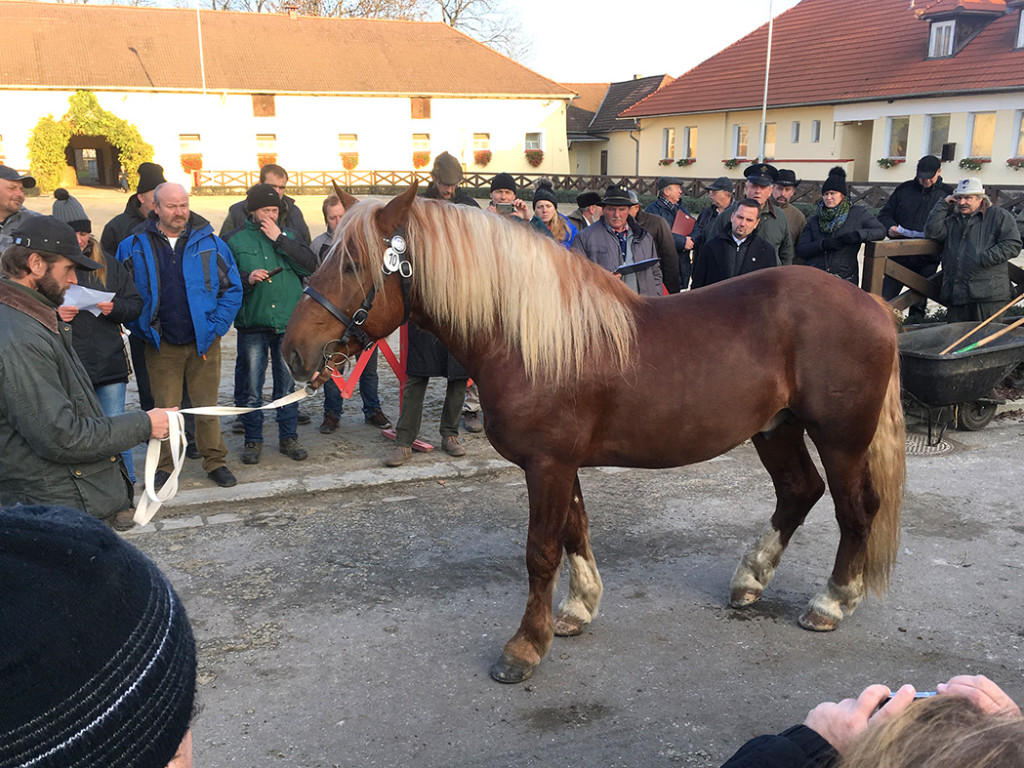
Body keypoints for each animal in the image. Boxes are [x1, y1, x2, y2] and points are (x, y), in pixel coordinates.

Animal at [280, 186, 905, 684]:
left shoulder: (548, 465)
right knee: (799, 492)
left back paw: (831, 602)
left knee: (855, 510)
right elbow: (574, 533)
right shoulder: (562, 465)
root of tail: (872, 302)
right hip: (776, 429)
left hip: (841, 439)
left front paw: (524, 647)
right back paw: (751, 578)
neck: (527, 337)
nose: (293, 352)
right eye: (326, 253)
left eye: (354, 264)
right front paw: (577, 611)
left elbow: (540, 552)